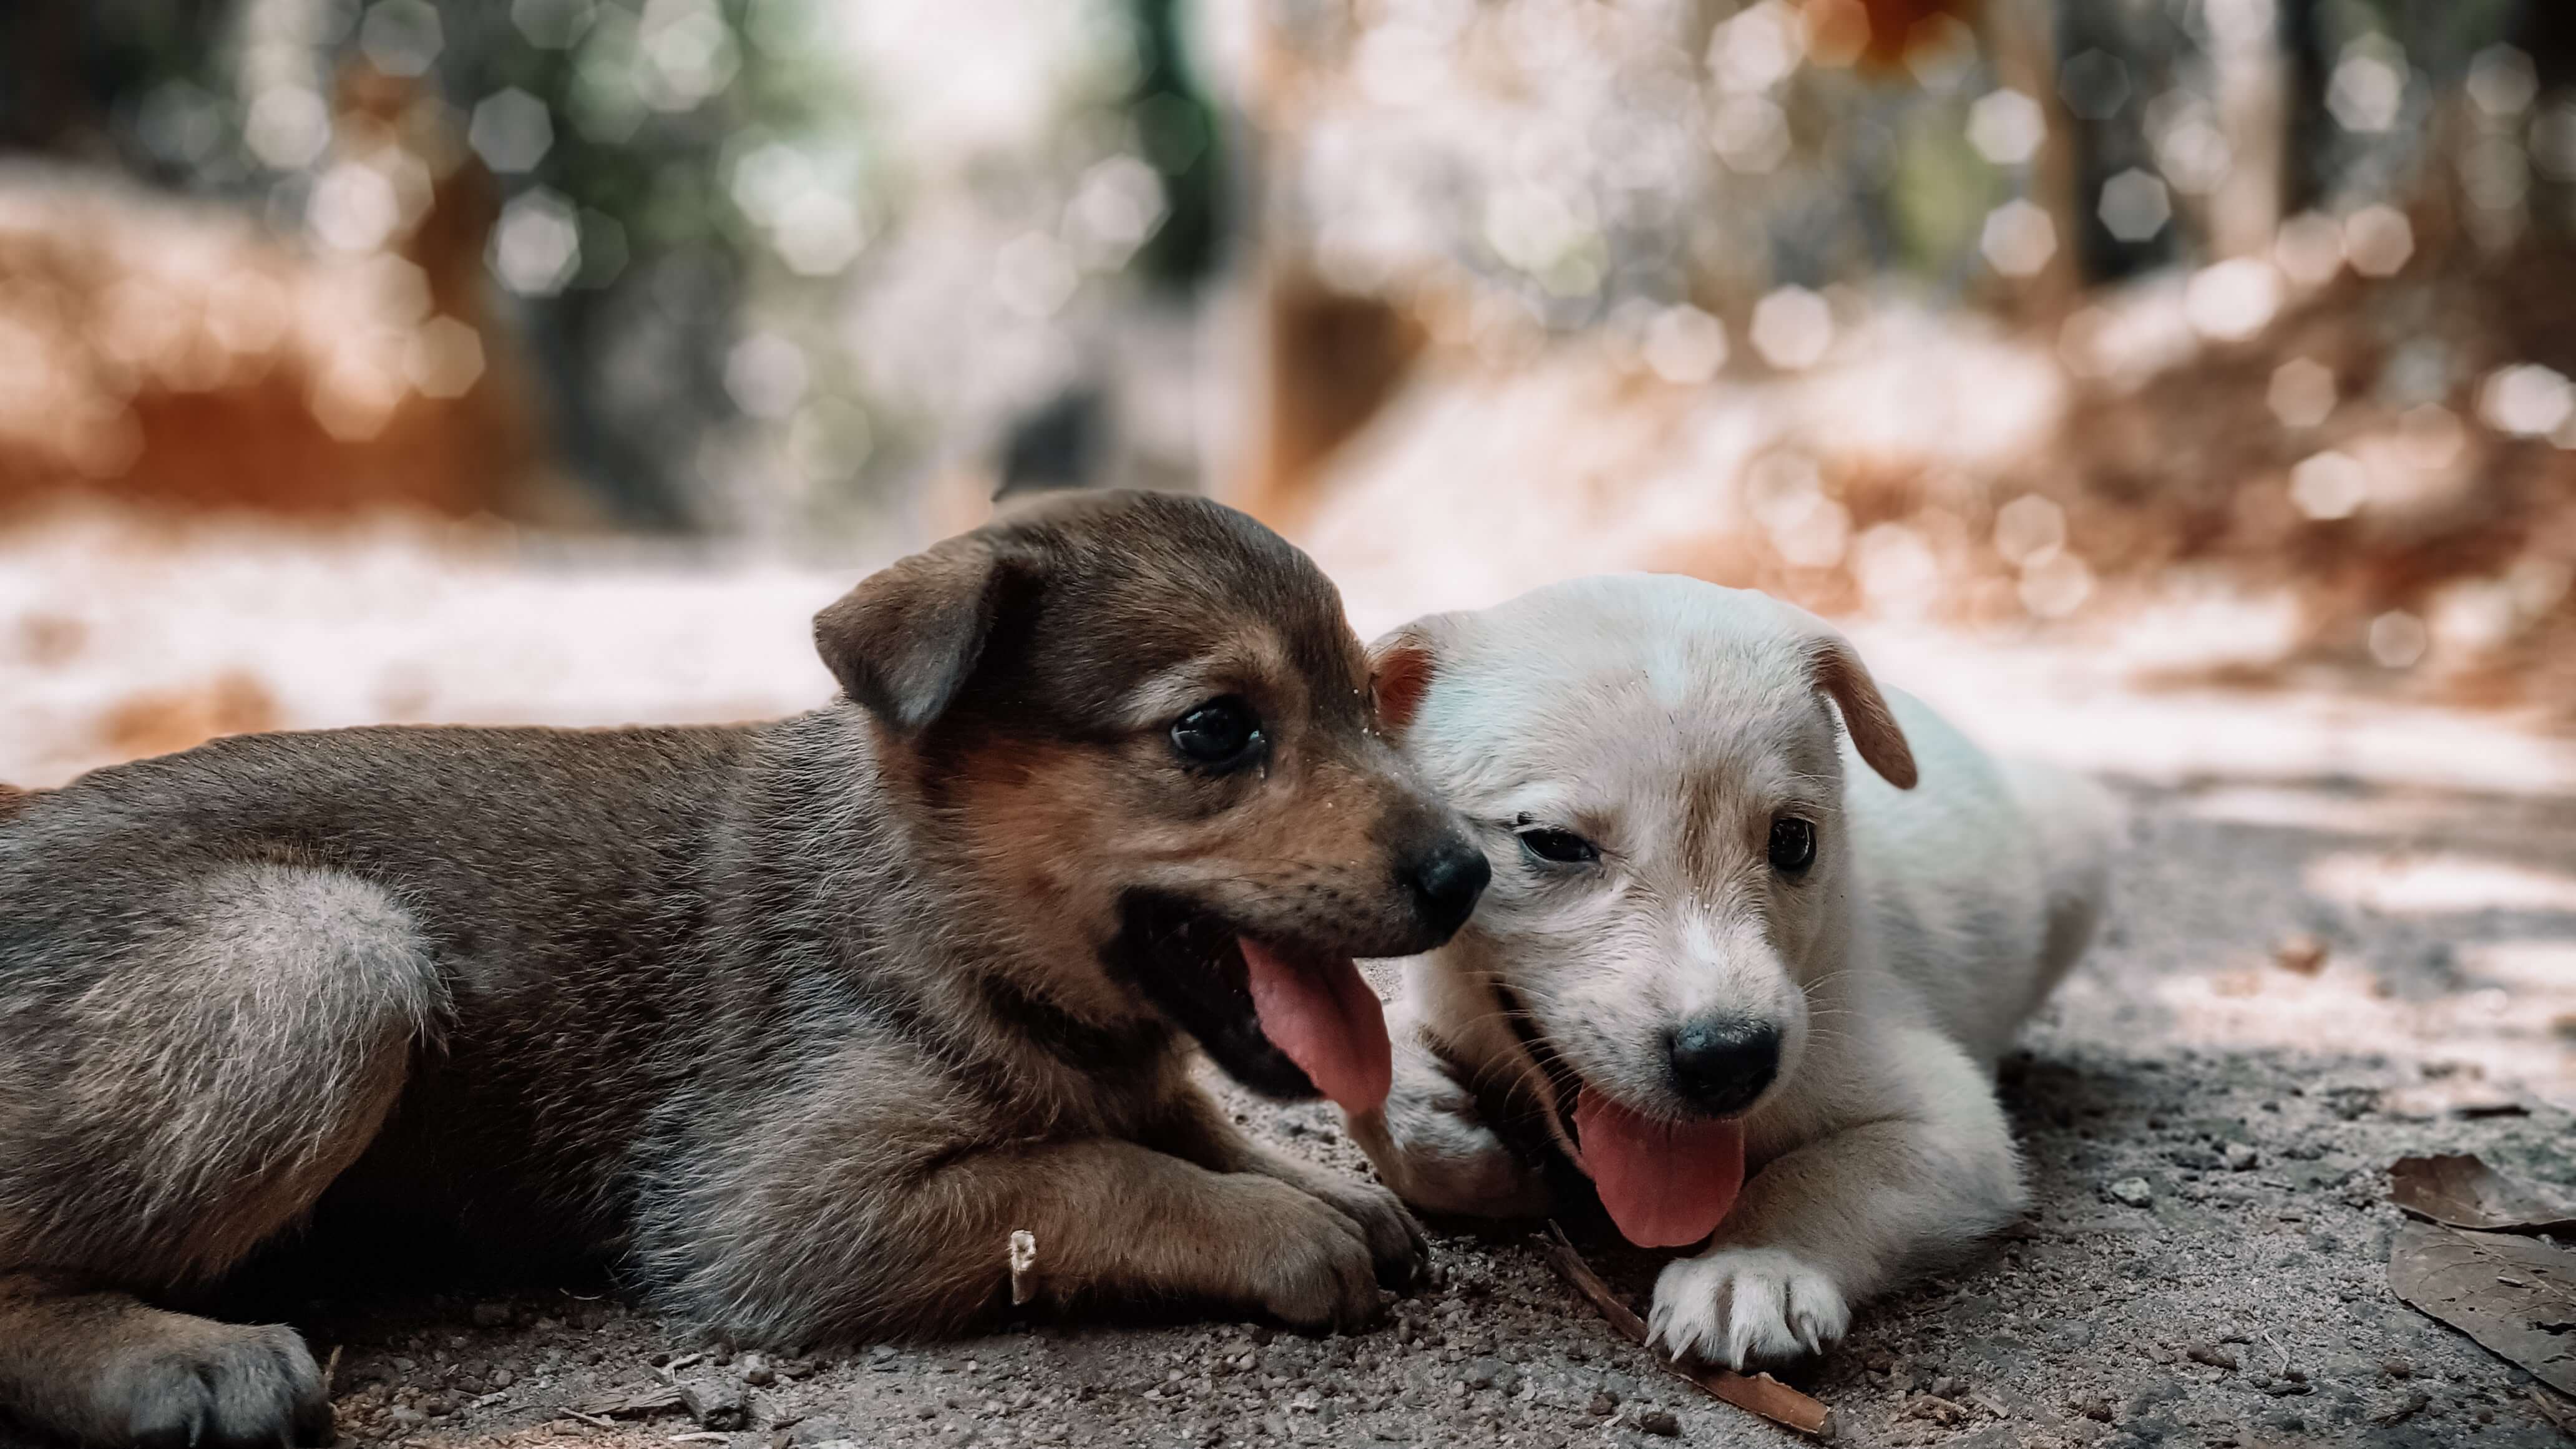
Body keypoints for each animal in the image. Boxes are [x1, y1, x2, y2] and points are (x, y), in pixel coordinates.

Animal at [0, 490, 1494, 1433]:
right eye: (1216, 731)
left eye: (1370, 706)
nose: (1468, 875)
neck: (931, 907)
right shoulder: (773, 1215)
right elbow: (1087, 1173)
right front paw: (1278, 1223)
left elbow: (1177, 1118)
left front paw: (1321, 1183)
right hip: (329, 955)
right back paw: (170, 1358)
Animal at [1350, 570, 2112, 1361]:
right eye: (1554, 843)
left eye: (1795, 841)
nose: (1730, 1061)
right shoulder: (1440, 1003)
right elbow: (1378, 1073)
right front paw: (1468, 1154)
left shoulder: (1954, 1125)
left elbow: (1825, 1173)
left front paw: (1753, 1267)